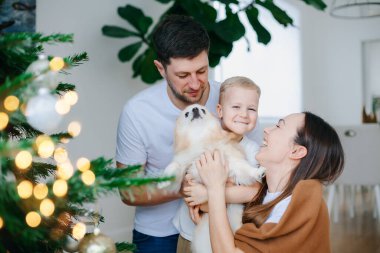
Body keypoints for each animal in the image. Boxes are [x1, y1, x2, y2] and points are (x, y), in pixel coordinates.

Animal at [158, 104, 264, 253]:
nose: (195, 109)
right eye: (186, 114)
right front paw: (164, 181)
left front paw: (257, 172)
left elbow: (244, 169)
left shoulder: (230, 161)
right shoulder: (183, 164)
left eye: (202, 110)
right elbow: (173, 167)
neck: (200, 138)